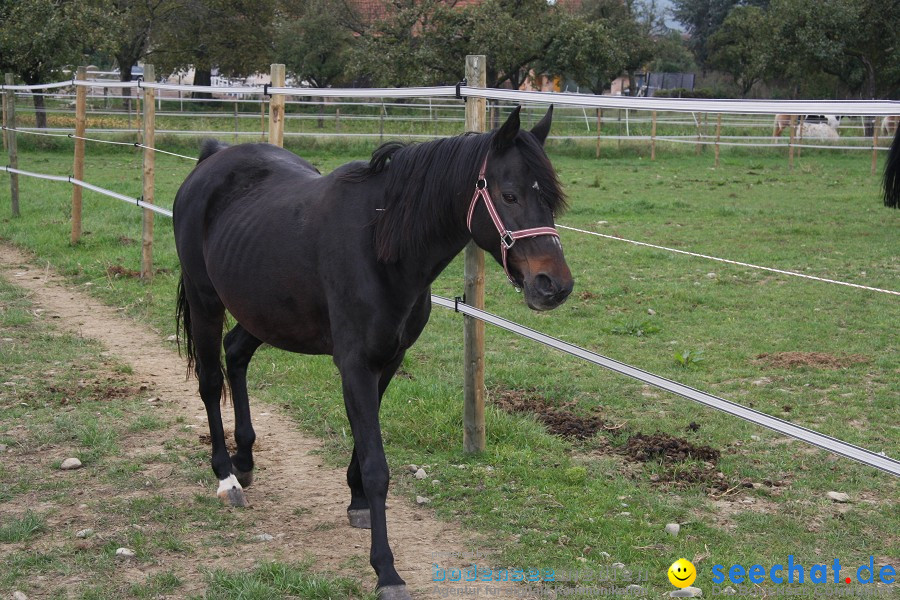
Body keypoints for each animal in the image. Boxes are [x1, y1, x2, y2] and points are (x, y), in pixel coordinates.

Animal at [172, 105, 572, 596]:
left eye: (550, 199)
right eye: (509, 195)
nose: (553, 286)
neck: (381, 242)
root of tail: (212, 158)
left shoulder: (387, 361)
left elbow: (365, 452)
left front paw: (357, 501)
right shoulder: (356, 365)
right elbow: (377, 465)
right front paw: (386, 570)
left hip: (262, 313)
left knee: (236, 354)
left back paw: (245, 459)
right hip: (205, 300)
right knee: (210, 381)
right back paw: (227, 477)